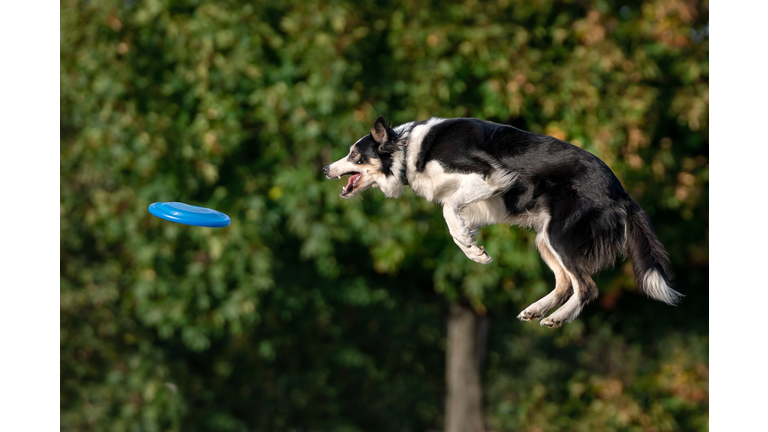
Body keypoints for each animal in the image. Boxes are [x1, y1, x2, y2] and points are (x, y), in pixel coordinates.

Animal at [320, 116, 680, 326]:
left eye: (355, 155)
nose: (324, 169)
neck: (407, 149)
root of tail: (621, 192)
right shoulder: (486, 199)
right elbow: (454, 214)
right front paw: (474, 250)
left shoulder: (491, 175)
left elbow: (448, 210)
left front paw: (471, 249)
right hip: (544, 237)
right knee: (566, 283)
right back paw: (537, 310)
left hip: (560, 234)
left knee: (586, 286)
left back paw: (557, 318)